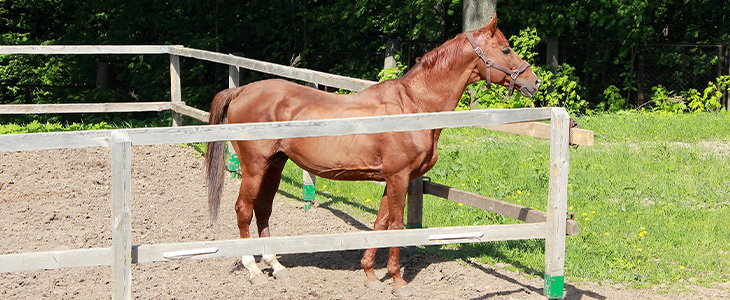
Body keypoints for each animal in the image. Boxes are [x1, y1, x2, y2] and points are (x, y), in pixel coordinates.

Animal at [203, 15, 536, 296]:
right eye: (506, 49)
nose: (534, 82)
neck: (413, 105)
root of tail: (242, 91)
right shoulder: (399, 177)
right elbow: (396, 227)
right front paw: (398, 282)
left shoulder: (393, 178)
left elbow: (379, 225)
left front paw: (371, 275)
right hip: (254, 168)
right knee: (243, 209)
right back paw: (253, 270)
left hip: (275, 165)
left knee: (263, 208)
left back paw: (275, 265)